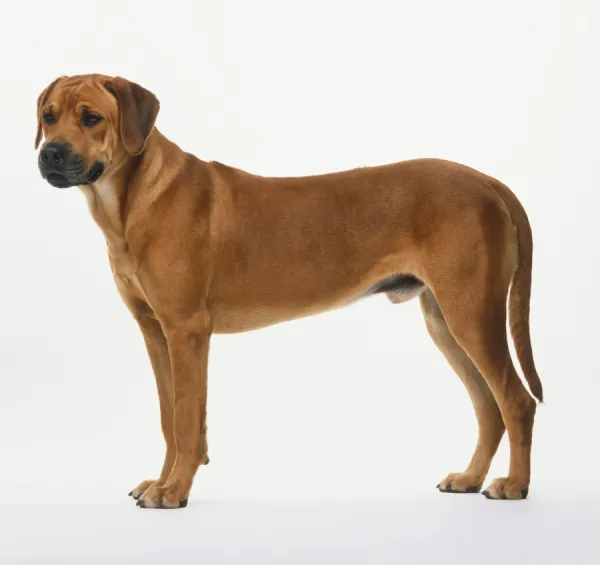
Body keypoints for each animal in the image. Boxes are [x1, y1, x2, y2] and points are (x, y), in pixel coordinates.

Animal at [36, 74, 544, 506]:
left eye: (91, 118)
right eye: (48, 116)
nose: (50, 154)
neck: (130, 200)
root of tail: (488, 182)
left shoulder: (186, 331)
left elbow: (185, 420)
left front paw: (175, 490)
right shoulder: (155, 332)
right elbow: (169, 417)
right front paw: (162, 482)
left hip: (471, 313)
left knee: (516, 401)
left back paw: (514, 485)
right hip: (444, 320)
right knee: (488, 407)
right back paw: (470, 477)